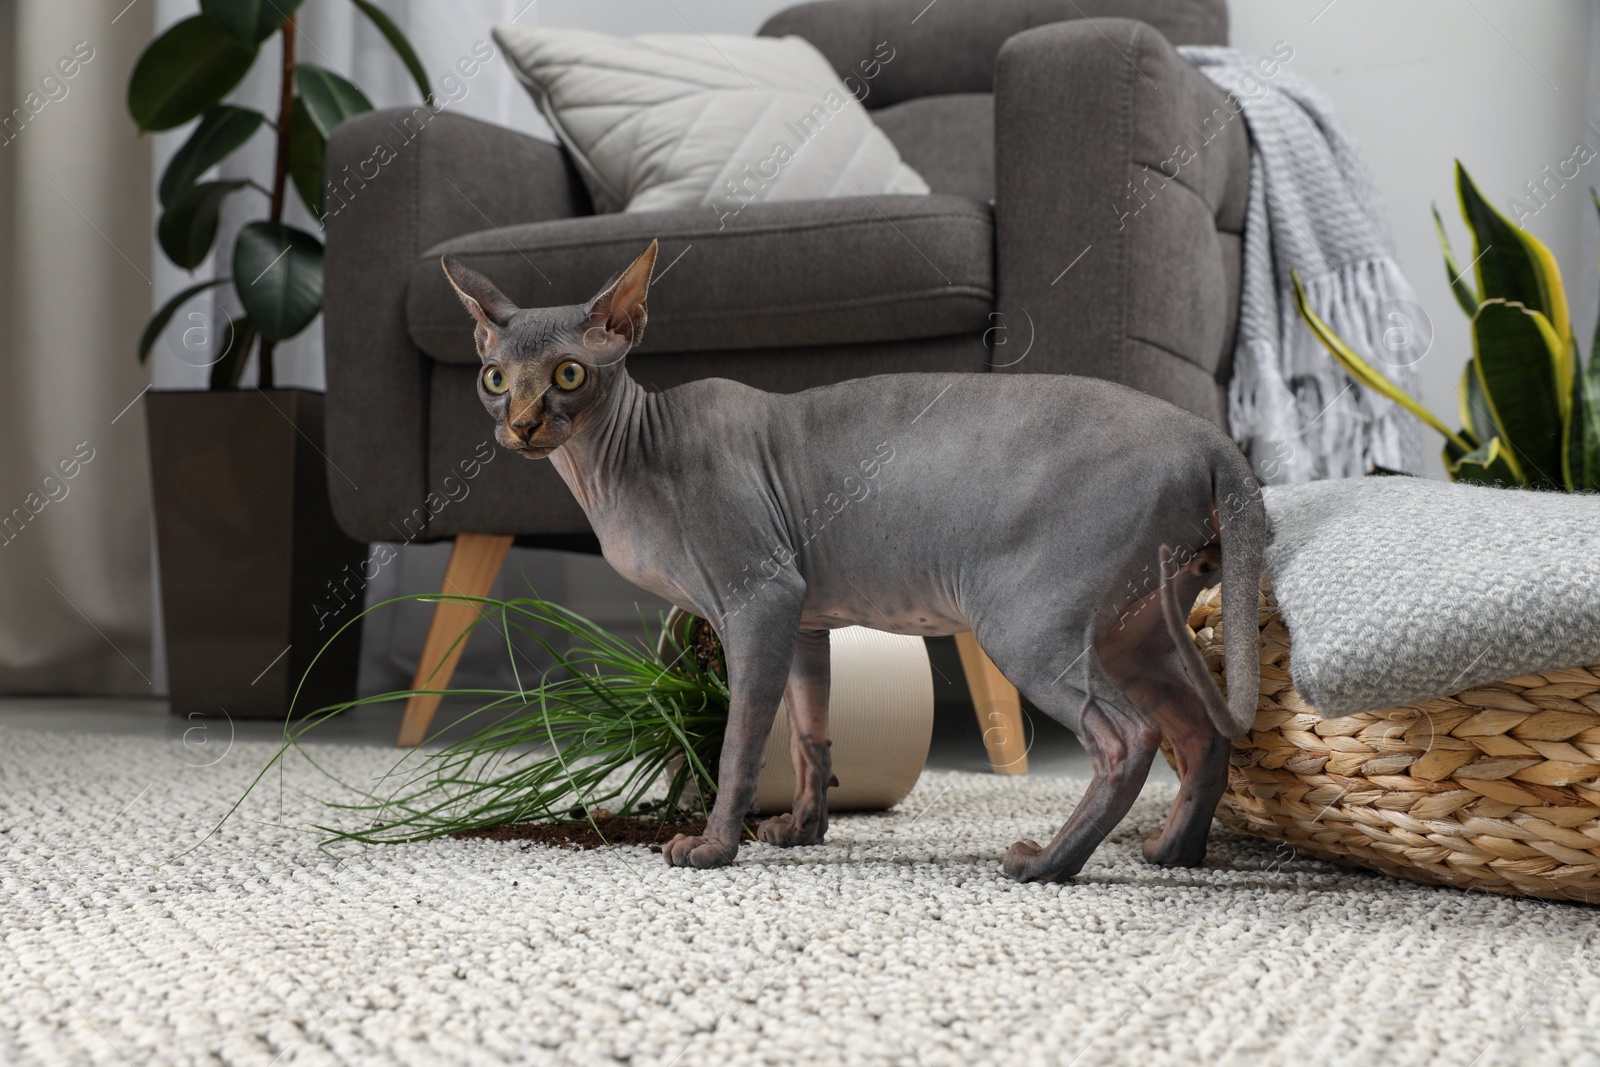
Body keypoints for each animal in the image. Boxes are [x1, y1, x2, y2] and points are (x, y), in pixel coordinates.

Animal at [438, 241, 1260, 883]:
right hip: (1135, 627)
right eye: (494, 378)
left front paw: (713, 845)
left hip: (1027, 623)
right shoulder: (804, 616)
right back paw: (1174, 850)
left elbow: (740, 740)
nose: (522, 424)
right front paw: (802, 829)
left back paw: (1047, 863)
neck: (615, 469)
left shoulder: (760, 597)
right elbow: (810, 731)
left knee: (1129, 739)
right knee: (1203, 730)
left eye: (568, 375)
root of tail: (1209, 437)